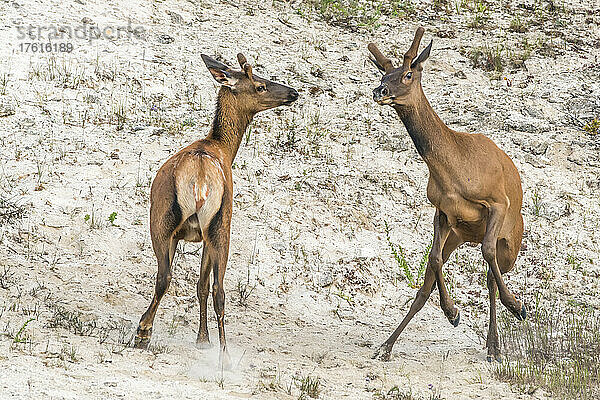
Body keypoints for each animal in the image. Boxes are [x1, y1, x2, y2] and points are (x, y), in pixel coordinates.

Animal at [134, 52, 298, 368]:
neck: (223, 147)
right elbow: (202, 285)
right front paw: (203, 339)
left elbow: (199, 284)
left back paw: (145, 333)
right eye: (260, 85)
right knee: (215, 289)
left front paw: (202, 339)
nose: (293, 92)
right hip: (220, 223)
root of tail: (199, 178)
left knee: (169, 277)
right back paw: (220, 353)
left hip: (167, 221)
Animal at [368, 27, 528, 362]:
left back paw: (495, 345)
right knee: (427, 284)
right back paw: (386, 346)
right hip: (459, 234)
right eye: (383, 73)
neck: (454, 169)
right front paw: (452, 311)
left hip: (511, 242)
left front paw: (517, 305)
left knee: (491, 276)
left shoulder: (497, 201)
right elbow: (434, 259)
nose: (379, 91)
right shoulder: (441, 210)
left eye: (408, 74)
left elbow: (488, 255)